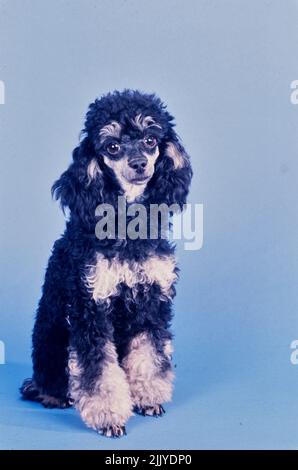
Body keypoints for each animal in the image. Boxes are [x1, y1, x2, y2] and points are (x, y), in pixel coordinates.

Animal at [21, 89, 193, 436]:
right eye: (112, 146)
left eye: (151, 140)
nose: (139, 163)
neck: (127, 226)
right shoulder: (90, 307)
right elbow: (98, 371)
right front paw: (109, 417)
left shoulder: (151, 304)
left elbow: (149, 355)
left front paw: (148, 399)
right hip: (50, 340)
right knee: (51, 380)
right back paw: (54, 395)